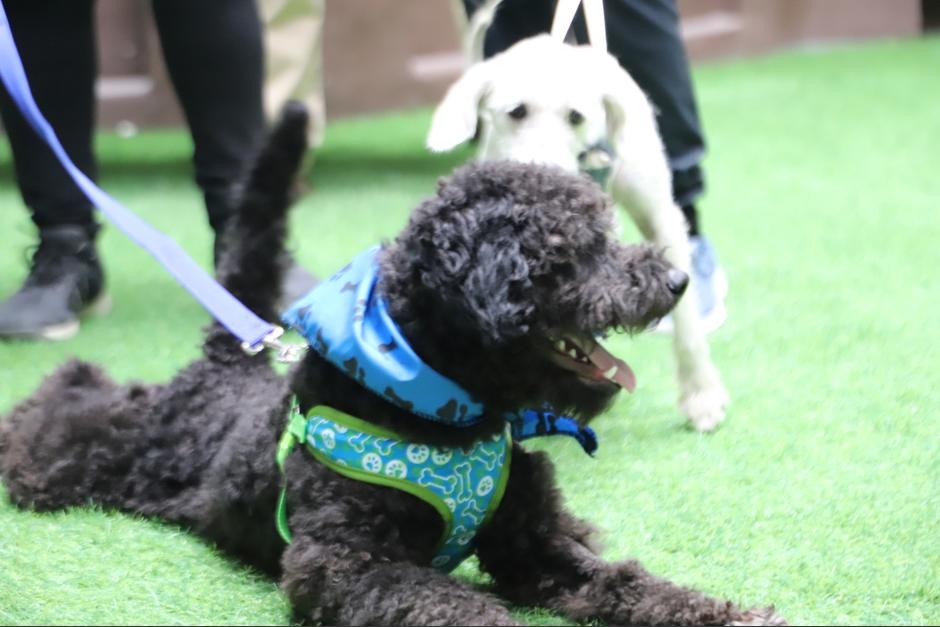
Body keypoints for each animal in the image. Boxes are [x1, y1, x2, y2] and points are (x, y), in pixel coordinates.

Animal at [0, 105, 784, 624]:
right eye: (575, 251)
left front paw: (730, 614)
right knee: (72, 398)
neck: (440, 413)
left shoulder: (533, 544)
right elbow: (465, 608)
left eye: (607, 230)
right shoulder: (347, 564)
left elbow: (628, 582)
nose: (676, 280)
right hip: (107, 447)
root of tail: (228, 361)